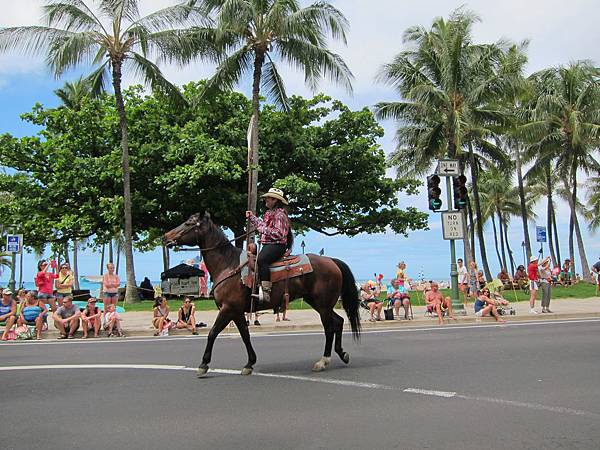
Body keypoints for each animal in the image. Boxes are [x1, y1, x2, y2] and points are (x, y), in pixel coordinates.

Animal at [162, 212, 360, 376]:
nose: (165, 237)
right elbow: (245, 335)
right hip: (318, 303)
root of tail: (331, 261)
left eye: (189, 223)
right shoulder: (236, 311)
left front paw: (203, 365)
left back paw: (323, 362)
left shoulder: (227, 309)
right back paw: (342, 354)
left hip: (323, 304)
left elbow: (213, 333)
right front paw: (249, 363)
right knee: (338, 322)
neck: (228, 265)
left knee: (329, 328)